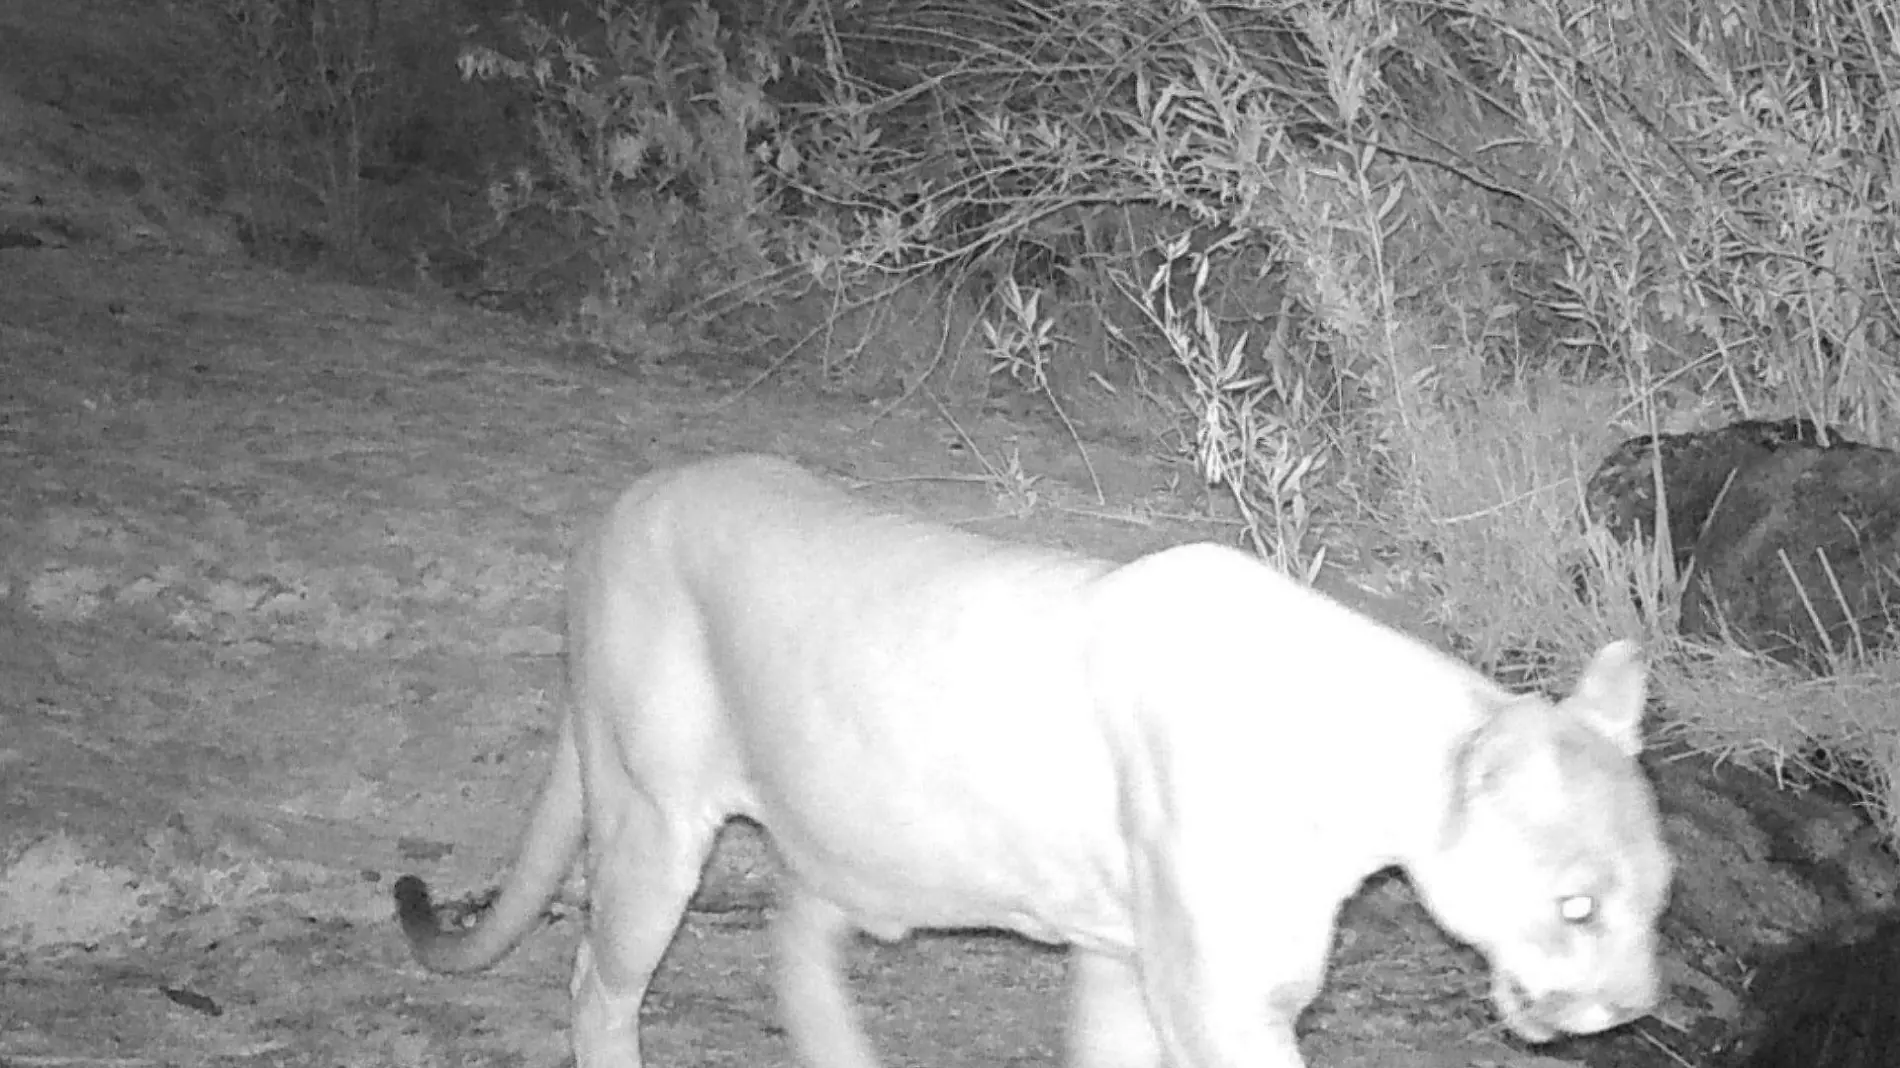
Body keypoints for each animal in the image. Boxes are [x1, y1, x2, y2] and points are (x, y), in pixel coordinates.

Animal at [393, 452, 1672, 1064]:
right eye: (1575, 905)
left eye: (1660, 899)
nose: (1631, 1009)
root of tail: (618, 512)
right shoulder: (1223, 998)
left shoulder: (1120, 959)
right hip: (654, 816)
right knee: (597, 984)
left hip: (852, 827)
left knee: (797, 928)